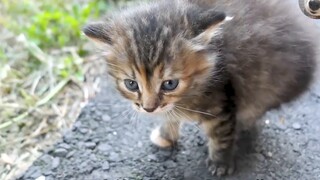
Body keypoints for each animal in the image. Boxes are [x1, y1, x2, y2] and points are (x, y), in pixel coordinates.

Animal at [84, 0, 318, 177]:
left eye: (170, 84)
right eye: (131, 84)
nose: (149, 108)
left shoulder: (221, 102)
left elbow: (221, 136)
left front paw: (221, 163)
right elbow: (169, 116)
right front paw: (165, 136)